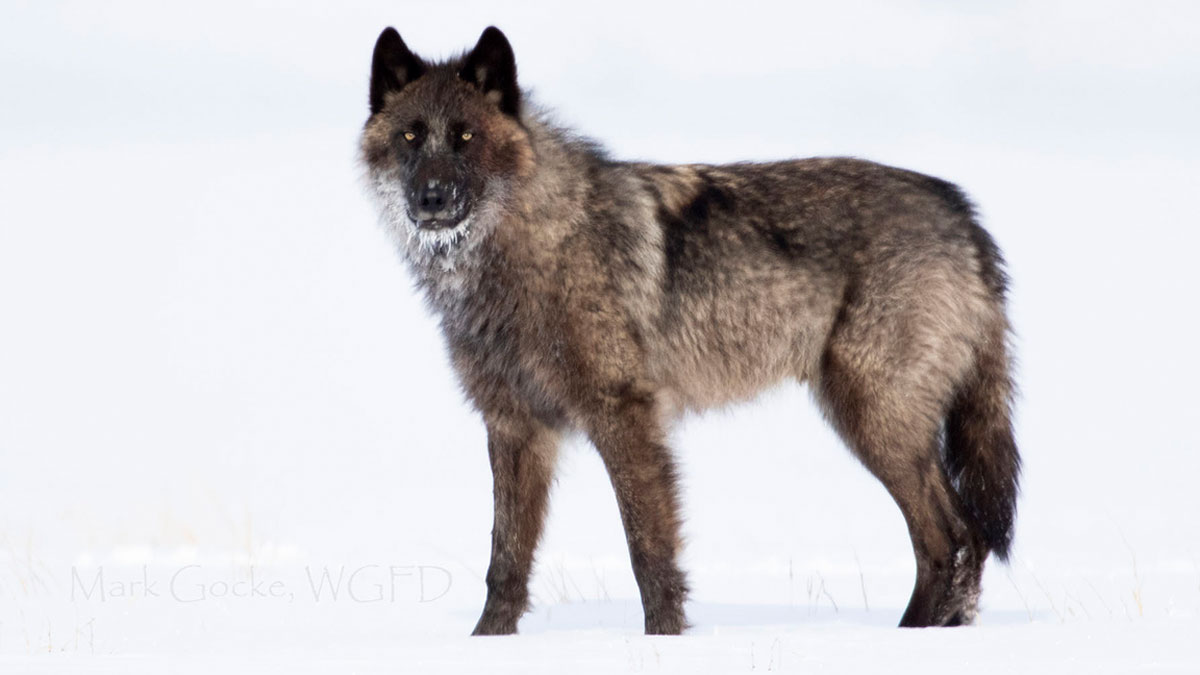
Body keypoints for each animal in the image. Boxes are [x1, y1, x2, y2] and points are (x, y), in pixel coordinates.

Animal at [359, 26, 1020, 635]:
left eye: (466, 137)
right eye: (410, 136)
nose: (432, 197)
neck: (532, 244)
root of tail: (964, 213)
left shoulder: (623, 416)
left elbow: (648, 552)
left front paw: (665, 641)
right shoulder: (514, 425)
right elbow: (505, 562)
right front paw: (485, 645)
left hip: (872, 418)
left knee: (950, 537)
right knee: (963, 537)